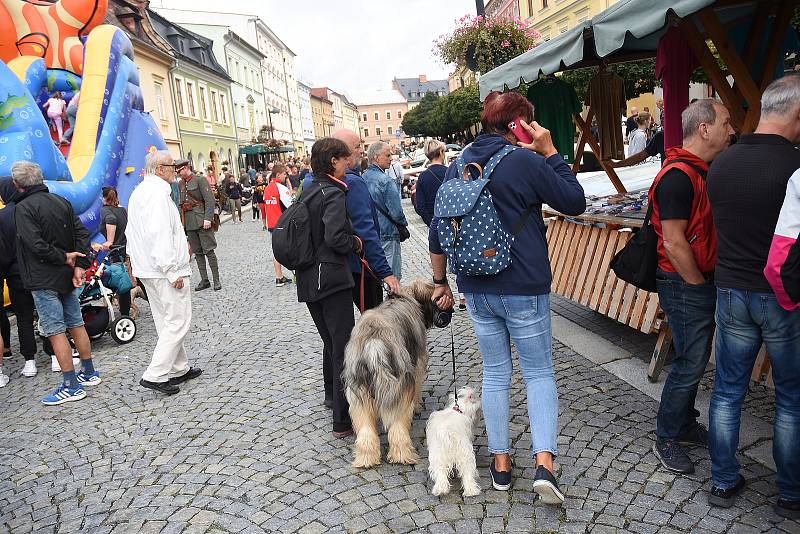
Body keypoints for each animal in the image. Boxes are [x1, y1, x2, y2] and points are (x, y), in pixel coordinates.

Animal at [344, 280, 440, 468]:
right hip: (400, 387)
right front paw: (417, 406)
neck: (405, 297)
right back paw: (402, 455)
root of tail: (374, 343)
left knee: (365, 428)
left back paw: (366, 459)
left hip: (359, 392)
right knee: (397, 427)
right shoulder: (418, 363)